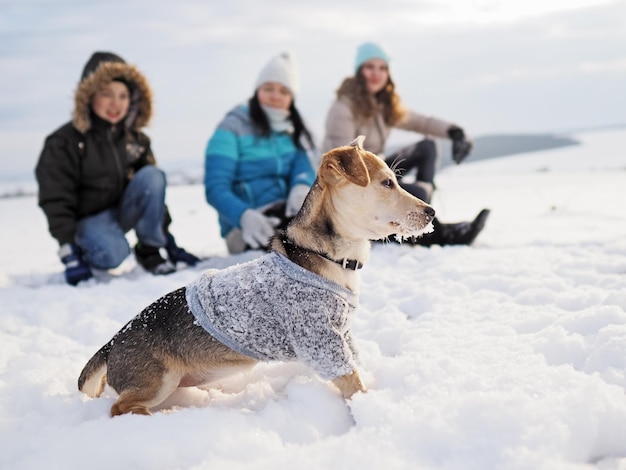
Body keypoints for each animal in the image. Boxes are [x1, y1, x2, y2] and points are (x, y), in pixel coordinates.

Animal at [77, 136, 434, 414]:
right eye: (387, 183)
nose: (432, 211)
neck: (332, 258)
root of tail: (111, 343)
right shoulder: (321, 340)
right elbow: (352, 382)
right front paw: (369, 409)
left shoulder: (344, 336)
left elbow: (358, 366)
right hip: (157, 380)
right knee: (119, 407)